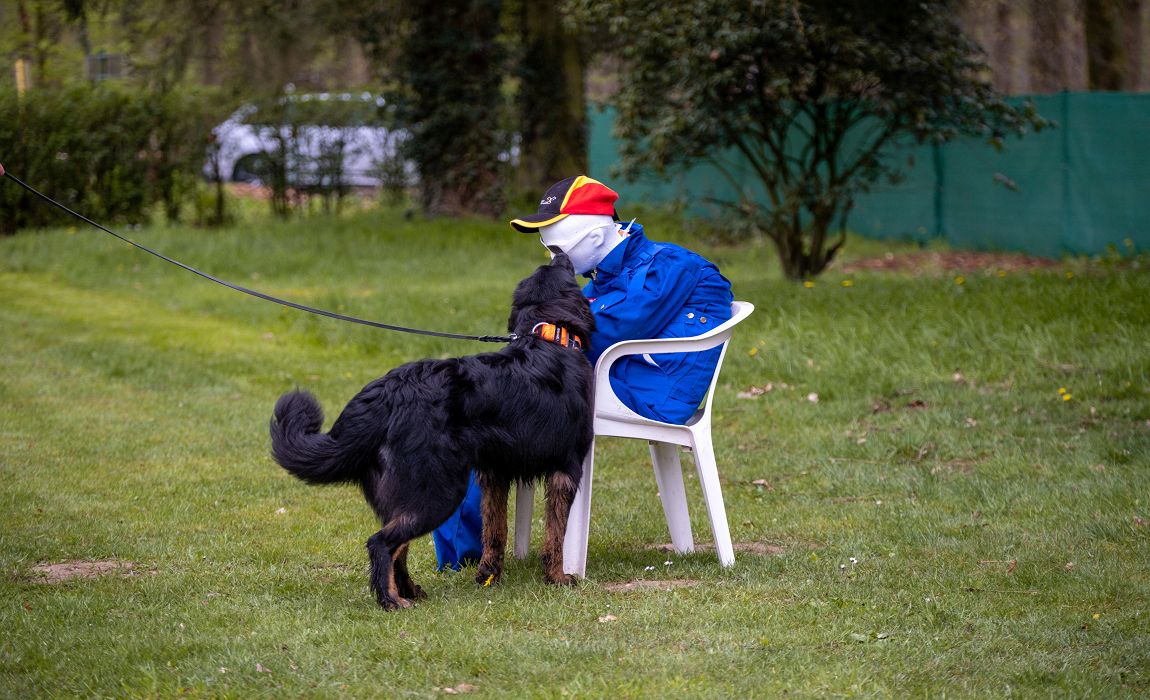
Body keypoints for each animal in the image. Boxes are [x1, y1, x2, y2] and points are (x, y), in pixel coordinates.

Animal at [269, 252, 593, 606]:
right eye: (559, 269)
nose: (559, 252)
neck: (548, 337)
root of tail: (389, 391)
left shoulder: (494, 472)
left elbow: (495, 531)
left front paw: (488, 575)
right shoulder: (565, 470)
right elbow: (556, 534)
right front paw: (558, 578)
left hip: (410, 494)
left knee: (399, 547)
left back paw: (409, 591)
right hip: (439, 490)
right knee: (381, 543)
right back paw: (391, 601)